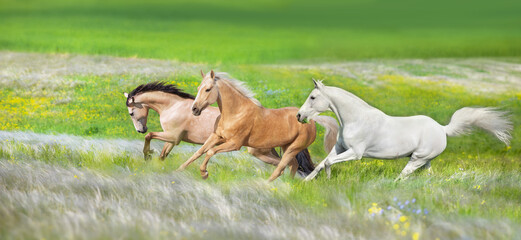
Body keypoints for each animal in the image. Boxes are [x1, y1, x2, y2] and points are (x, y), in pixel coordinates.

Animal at [123, 81, 280, 164]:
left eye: (131, 113)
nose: (140, 130)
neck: (173, 106)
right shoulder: (173, 139)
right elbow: (163, 155)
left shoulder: (173, 136)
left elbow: (149, 136)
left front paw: (147, 155)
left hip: (257, 151)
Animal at [177, 70, 340, 181]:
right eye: (198, 88)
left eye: (208, 89)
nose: (194, 109)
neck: (236, 112)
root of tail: (310, 120)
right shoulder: (216, 136)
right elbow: (199, 152)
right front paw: (178, 169)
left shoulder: (234, 144)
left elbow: (210, 152)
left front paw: (204, 173)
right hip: (274, 149)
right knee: (291, 165)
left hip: (293, 148)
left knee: (282, 167)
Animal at [296, 79, 512, 181]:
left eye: (313, 97)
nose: (299, 116)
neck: (356, 119)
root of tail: (442, 129)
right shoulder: (340, 148)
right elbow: (321, 163)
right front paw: (306, 182)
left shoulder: (355, 153)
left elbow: (328, 163)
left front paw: (328, 179)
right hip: (425, 161)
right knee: (428, 175)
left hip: (417, 159)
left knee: (403, 176)